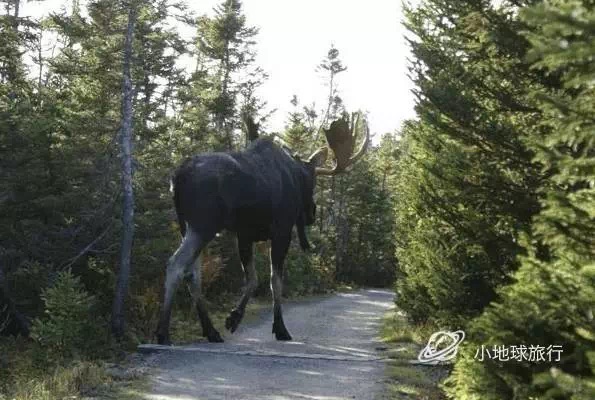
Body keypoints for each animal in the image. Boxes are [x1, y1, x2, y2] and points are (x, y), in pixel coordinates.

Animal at [157, 111, 372, 344]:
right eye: (312, 182)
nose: (312, 214)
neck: (294, 172)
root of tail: (177, 177)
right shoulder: (281, 231)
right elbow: (274, 281)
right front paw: (280, 328)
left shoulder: (244, 235)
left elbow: (252, 279)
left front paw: (234, 318)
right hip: (203, 224)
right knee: (176, 264)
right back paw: (163, 333)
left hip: (187, 226)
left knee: (193, 273)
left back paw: (211, 331)